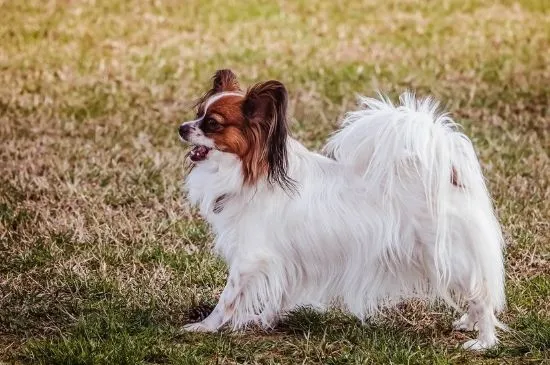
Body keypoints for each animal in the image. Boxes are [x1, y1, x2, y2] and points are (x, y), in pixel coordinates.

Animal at [180, 69, 508, 350]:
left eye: (212, 124)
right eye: (198, 114)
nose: (182, 128)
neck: (251, 173)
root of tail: (449, 176)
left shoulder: (249, 257)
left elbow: (227, 298)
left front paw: (205, 327)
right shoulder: (284, 259)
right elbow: (279, 294)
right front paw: (264, 321)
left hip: (450, 257)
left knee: (481, 295)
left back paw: (483, 341)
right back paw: (467, 323)